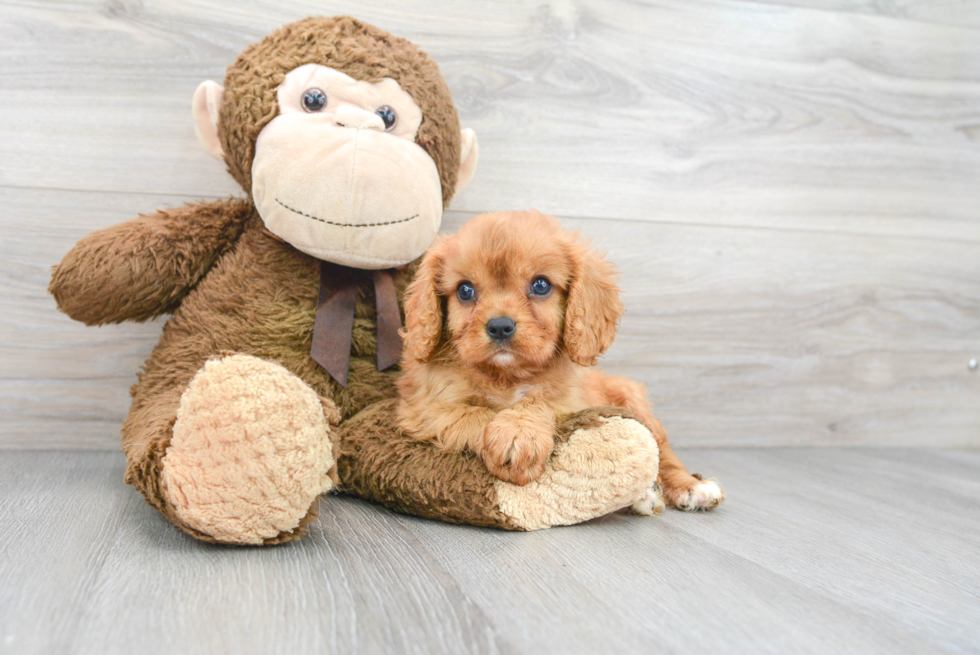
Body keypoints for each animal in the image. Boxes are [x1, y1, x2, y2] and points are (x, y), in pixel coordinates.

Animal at [394, 210, 724, 512]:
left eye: (541, 285)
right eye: (465, 290)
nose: (499, 326)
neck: (508, 375)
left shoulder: (570, 402)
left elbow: (539, 401)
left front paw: (519, 432)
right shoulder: (428, 408)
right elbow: (475, 414)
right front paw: (510, 440)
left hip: (632, 398)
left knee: (663, 452)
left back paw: (690, 487)